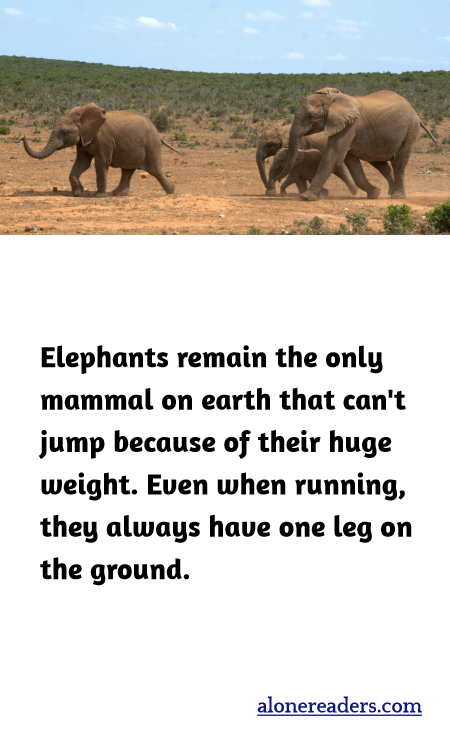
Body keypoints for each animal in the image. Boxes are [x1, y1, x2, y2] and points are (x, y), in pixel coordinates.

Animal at [22, 103, 180, 197]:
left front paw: (98, 196)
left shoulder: (102, 139)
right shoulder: (83, 140)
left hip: (151, 145)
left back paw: (171, 191)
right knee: (127, 170)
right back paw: (117, 194)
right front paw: (78, 193)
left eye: (65, 132)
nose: (22, 137)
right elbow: (82, 163)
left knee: (155, 170)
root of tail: (157, 132)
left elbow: (101, 162)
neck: (81, 115)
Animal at [278, 89, 437, 201]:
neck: (331, 99)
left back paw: (397, 196)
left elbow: (333, 155)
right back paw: (390, 191)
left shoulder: (349, 126)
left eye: (311, 116)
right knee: (381, 165)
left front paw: (307, 197)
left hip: (410, 130)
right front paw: (375, 193)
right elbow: (351, 162)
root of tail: (414, 111)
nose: (278, 178)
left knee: (398, 163)